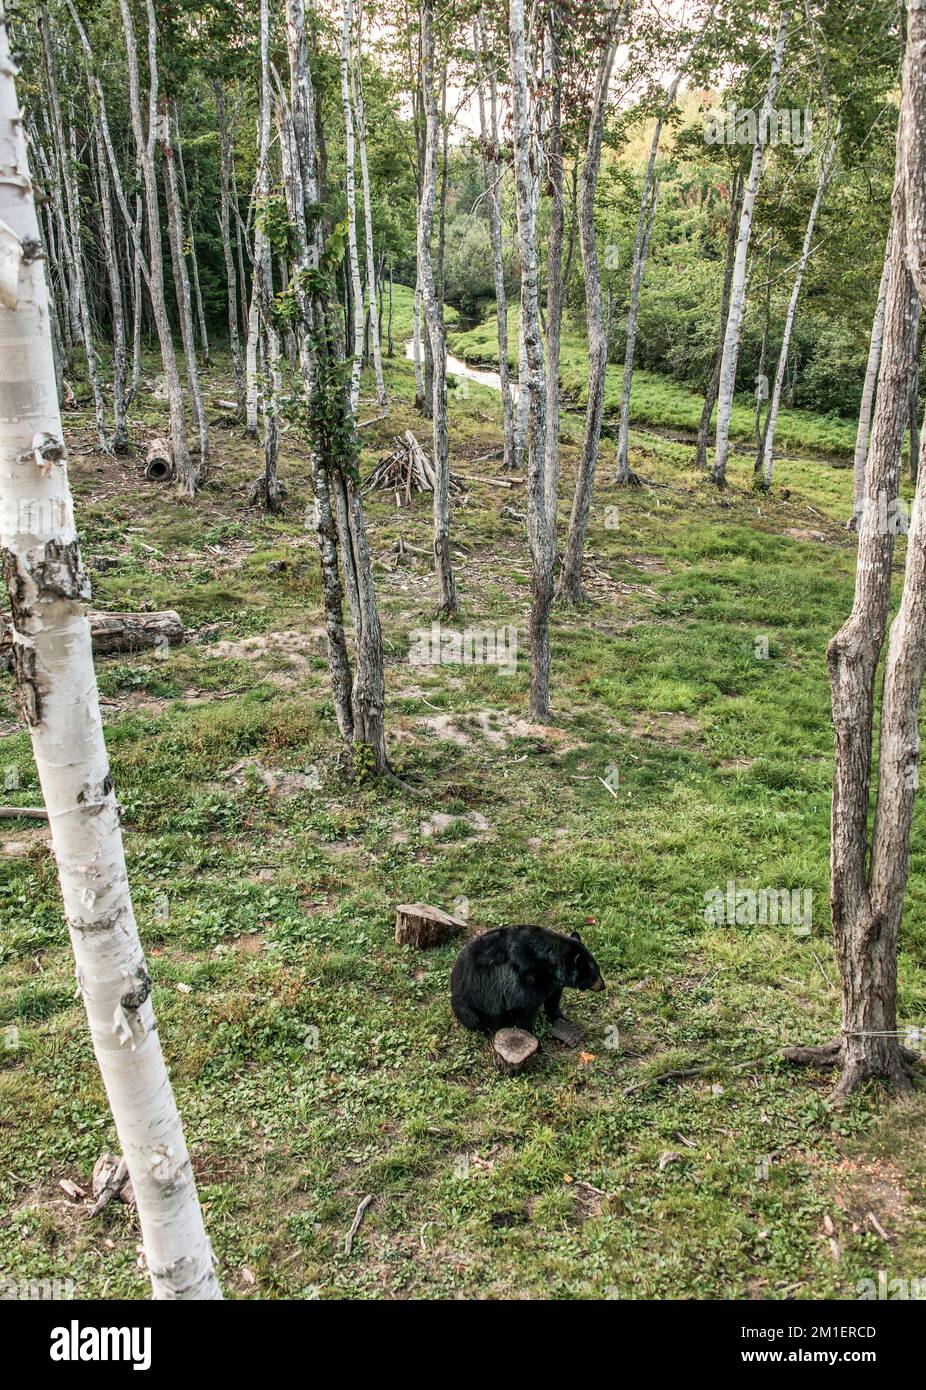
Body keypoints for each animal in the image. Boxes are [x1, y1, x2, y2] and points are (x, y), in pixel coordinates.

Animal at [450, 925, 606, 1035]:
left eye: (598, 971)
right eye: (594, 975)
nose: (603, 986)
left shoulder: (552, 983)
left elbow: (553, 999)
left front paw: (560, 1017)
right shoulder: (525, 979)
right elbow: (523, 1008)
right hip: (473, 1004)